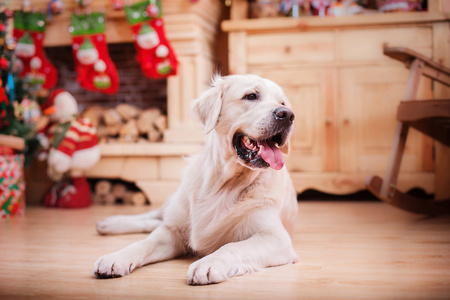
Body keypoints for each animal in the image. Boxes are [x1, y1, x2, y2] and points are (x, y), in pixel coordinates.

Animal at [92, 74, 298, 284]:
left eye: (282, 103)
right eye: (251, 96)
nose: (287, 115)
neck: (224, 183)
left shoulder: (275, 237)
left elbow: (232, 246)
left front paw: (209, 263)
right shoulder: (172, 231)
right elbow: (144, 243)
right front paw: (117, 257)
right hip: (177, 205)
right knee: (154, 217)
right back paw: (111, 223)